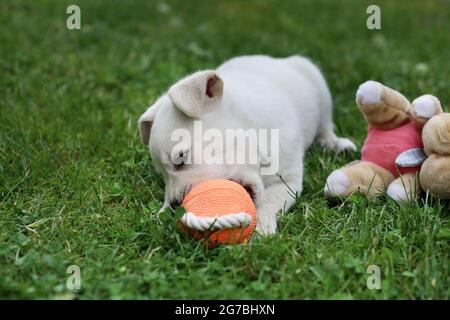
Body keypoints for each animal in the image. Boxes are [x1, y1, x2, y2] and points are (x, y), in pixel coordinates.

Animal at [138, 54, 356, 235]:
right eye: (162, 175)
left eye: (181, 158)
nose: (175, 205)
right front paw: (162, 213)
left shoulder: (287, 181)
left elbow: (268, 201)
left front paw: (261, 227)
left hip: (318, 85)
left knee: (325, 125)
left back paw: (336, 144)